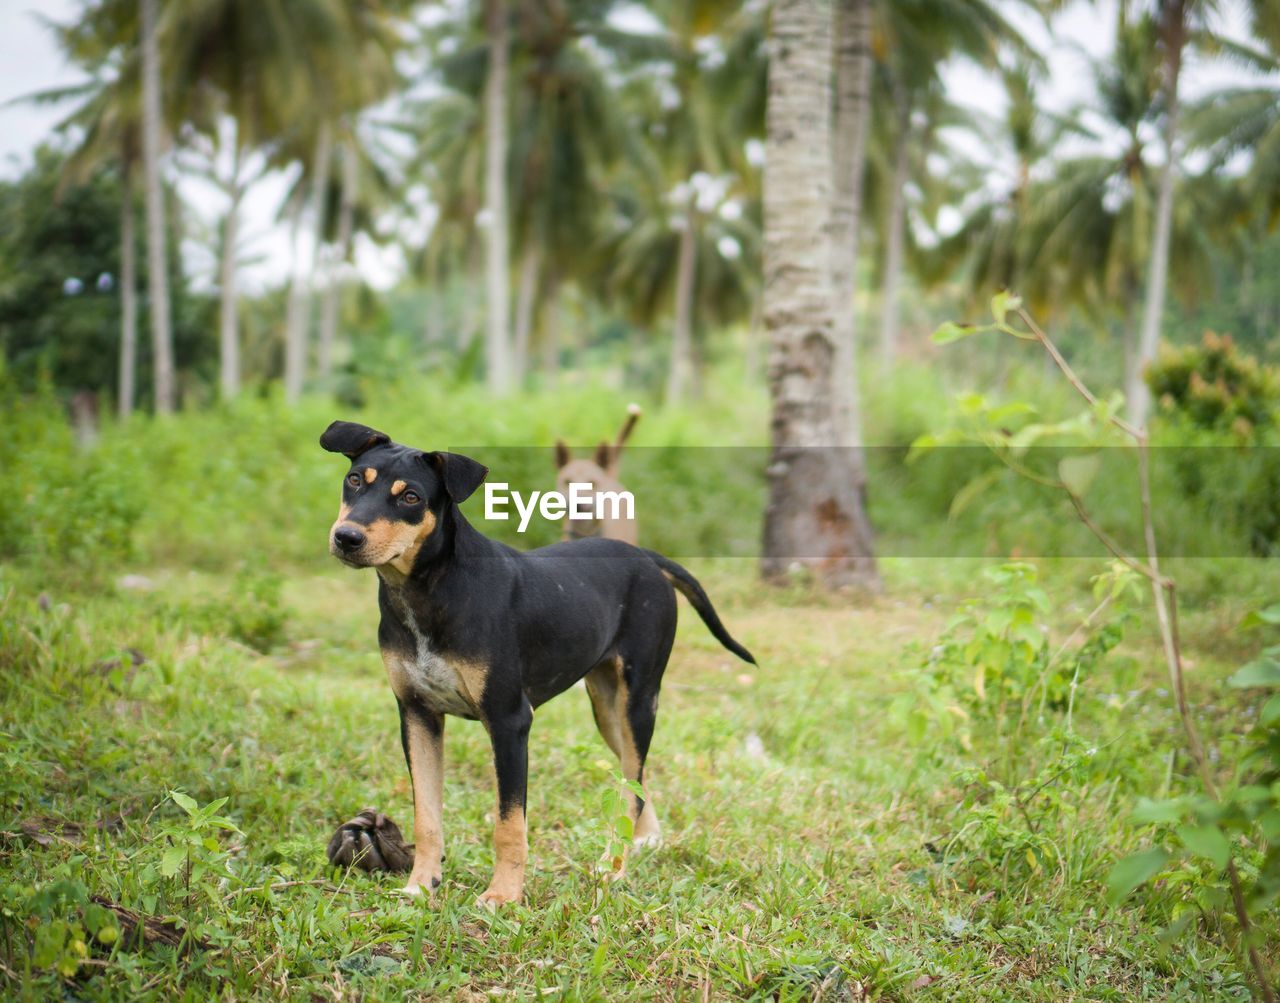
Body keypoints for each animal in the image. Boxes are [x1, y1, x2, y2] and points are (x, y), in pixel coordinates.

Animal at [320, 419, 752, 905]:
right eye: (354, 480)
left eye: (411, 497)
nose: (347, 538)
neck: (429, 590)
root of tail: (647, 558)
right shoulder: (416, 714)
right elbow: (426, 817)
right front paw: (420, 886)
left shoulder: (509, 721)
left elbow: (509, 825)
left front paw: (502, 897)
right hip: (607, 709)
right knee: (635, 777)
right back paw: (643, 841)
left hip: (639, 700)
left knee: (632, 783)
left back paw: (615, 867)